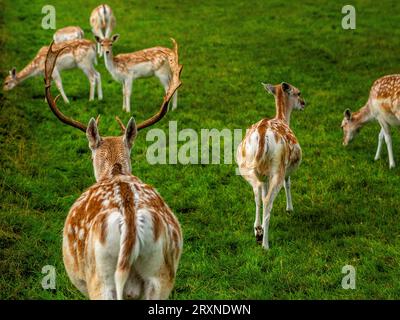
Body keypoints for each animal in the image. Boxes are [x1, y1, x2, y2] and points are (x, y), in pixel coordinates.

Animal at [236, 82, 304, 250]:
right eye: (298, 93)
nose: (304, 103)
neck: (283, 118)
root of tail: (261, 134)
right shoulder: (286, 171)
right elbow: (288, 184)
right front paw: (290, 209)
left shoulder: (265, 175)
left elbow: (262, 192)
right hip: (278, 168)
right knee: (267, 201)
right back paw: (265, 244)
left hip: (245, 164)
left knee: (257, 194)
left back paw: (258, 231)